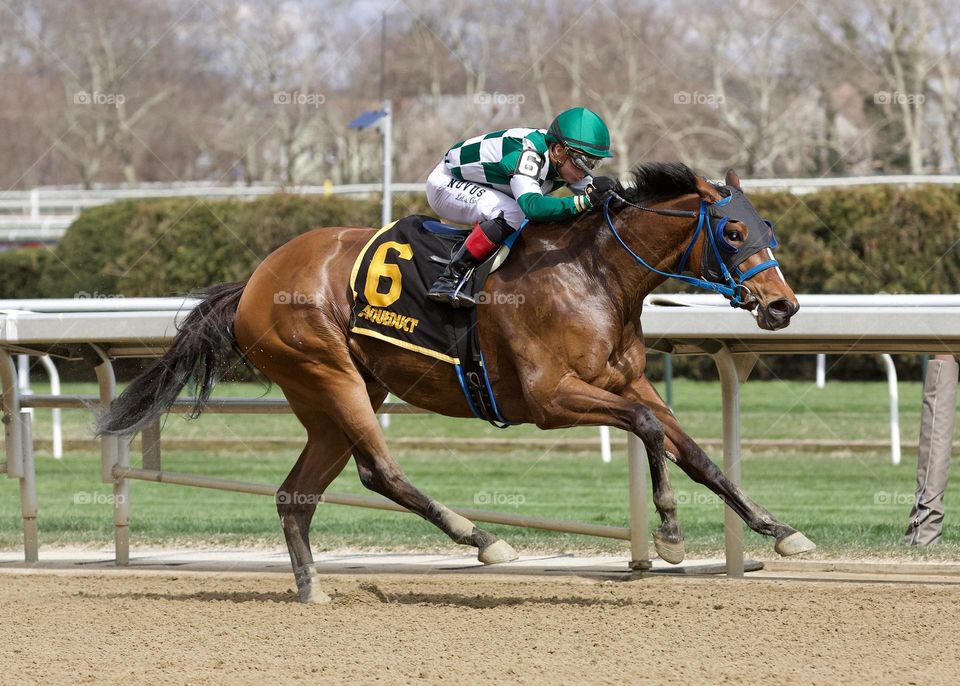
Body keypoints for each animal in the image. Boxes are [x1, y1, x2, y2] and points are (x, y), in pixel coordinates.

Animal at [103, 164, 808, 604]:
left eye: (768, 229)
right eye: (733, 231)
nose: (782, 307)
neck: (593, 275)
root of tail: (252, 281)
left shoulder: (628, 381)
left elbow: (693, 451)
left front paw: (778, 529)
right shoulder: (550, 398)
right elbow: (649, 430)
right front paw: (668, 532)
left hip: (335, 393)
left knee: (294, 495)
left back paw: (312, 587)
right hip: (328, 372)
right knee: (378, 472)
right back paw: (483, 539)